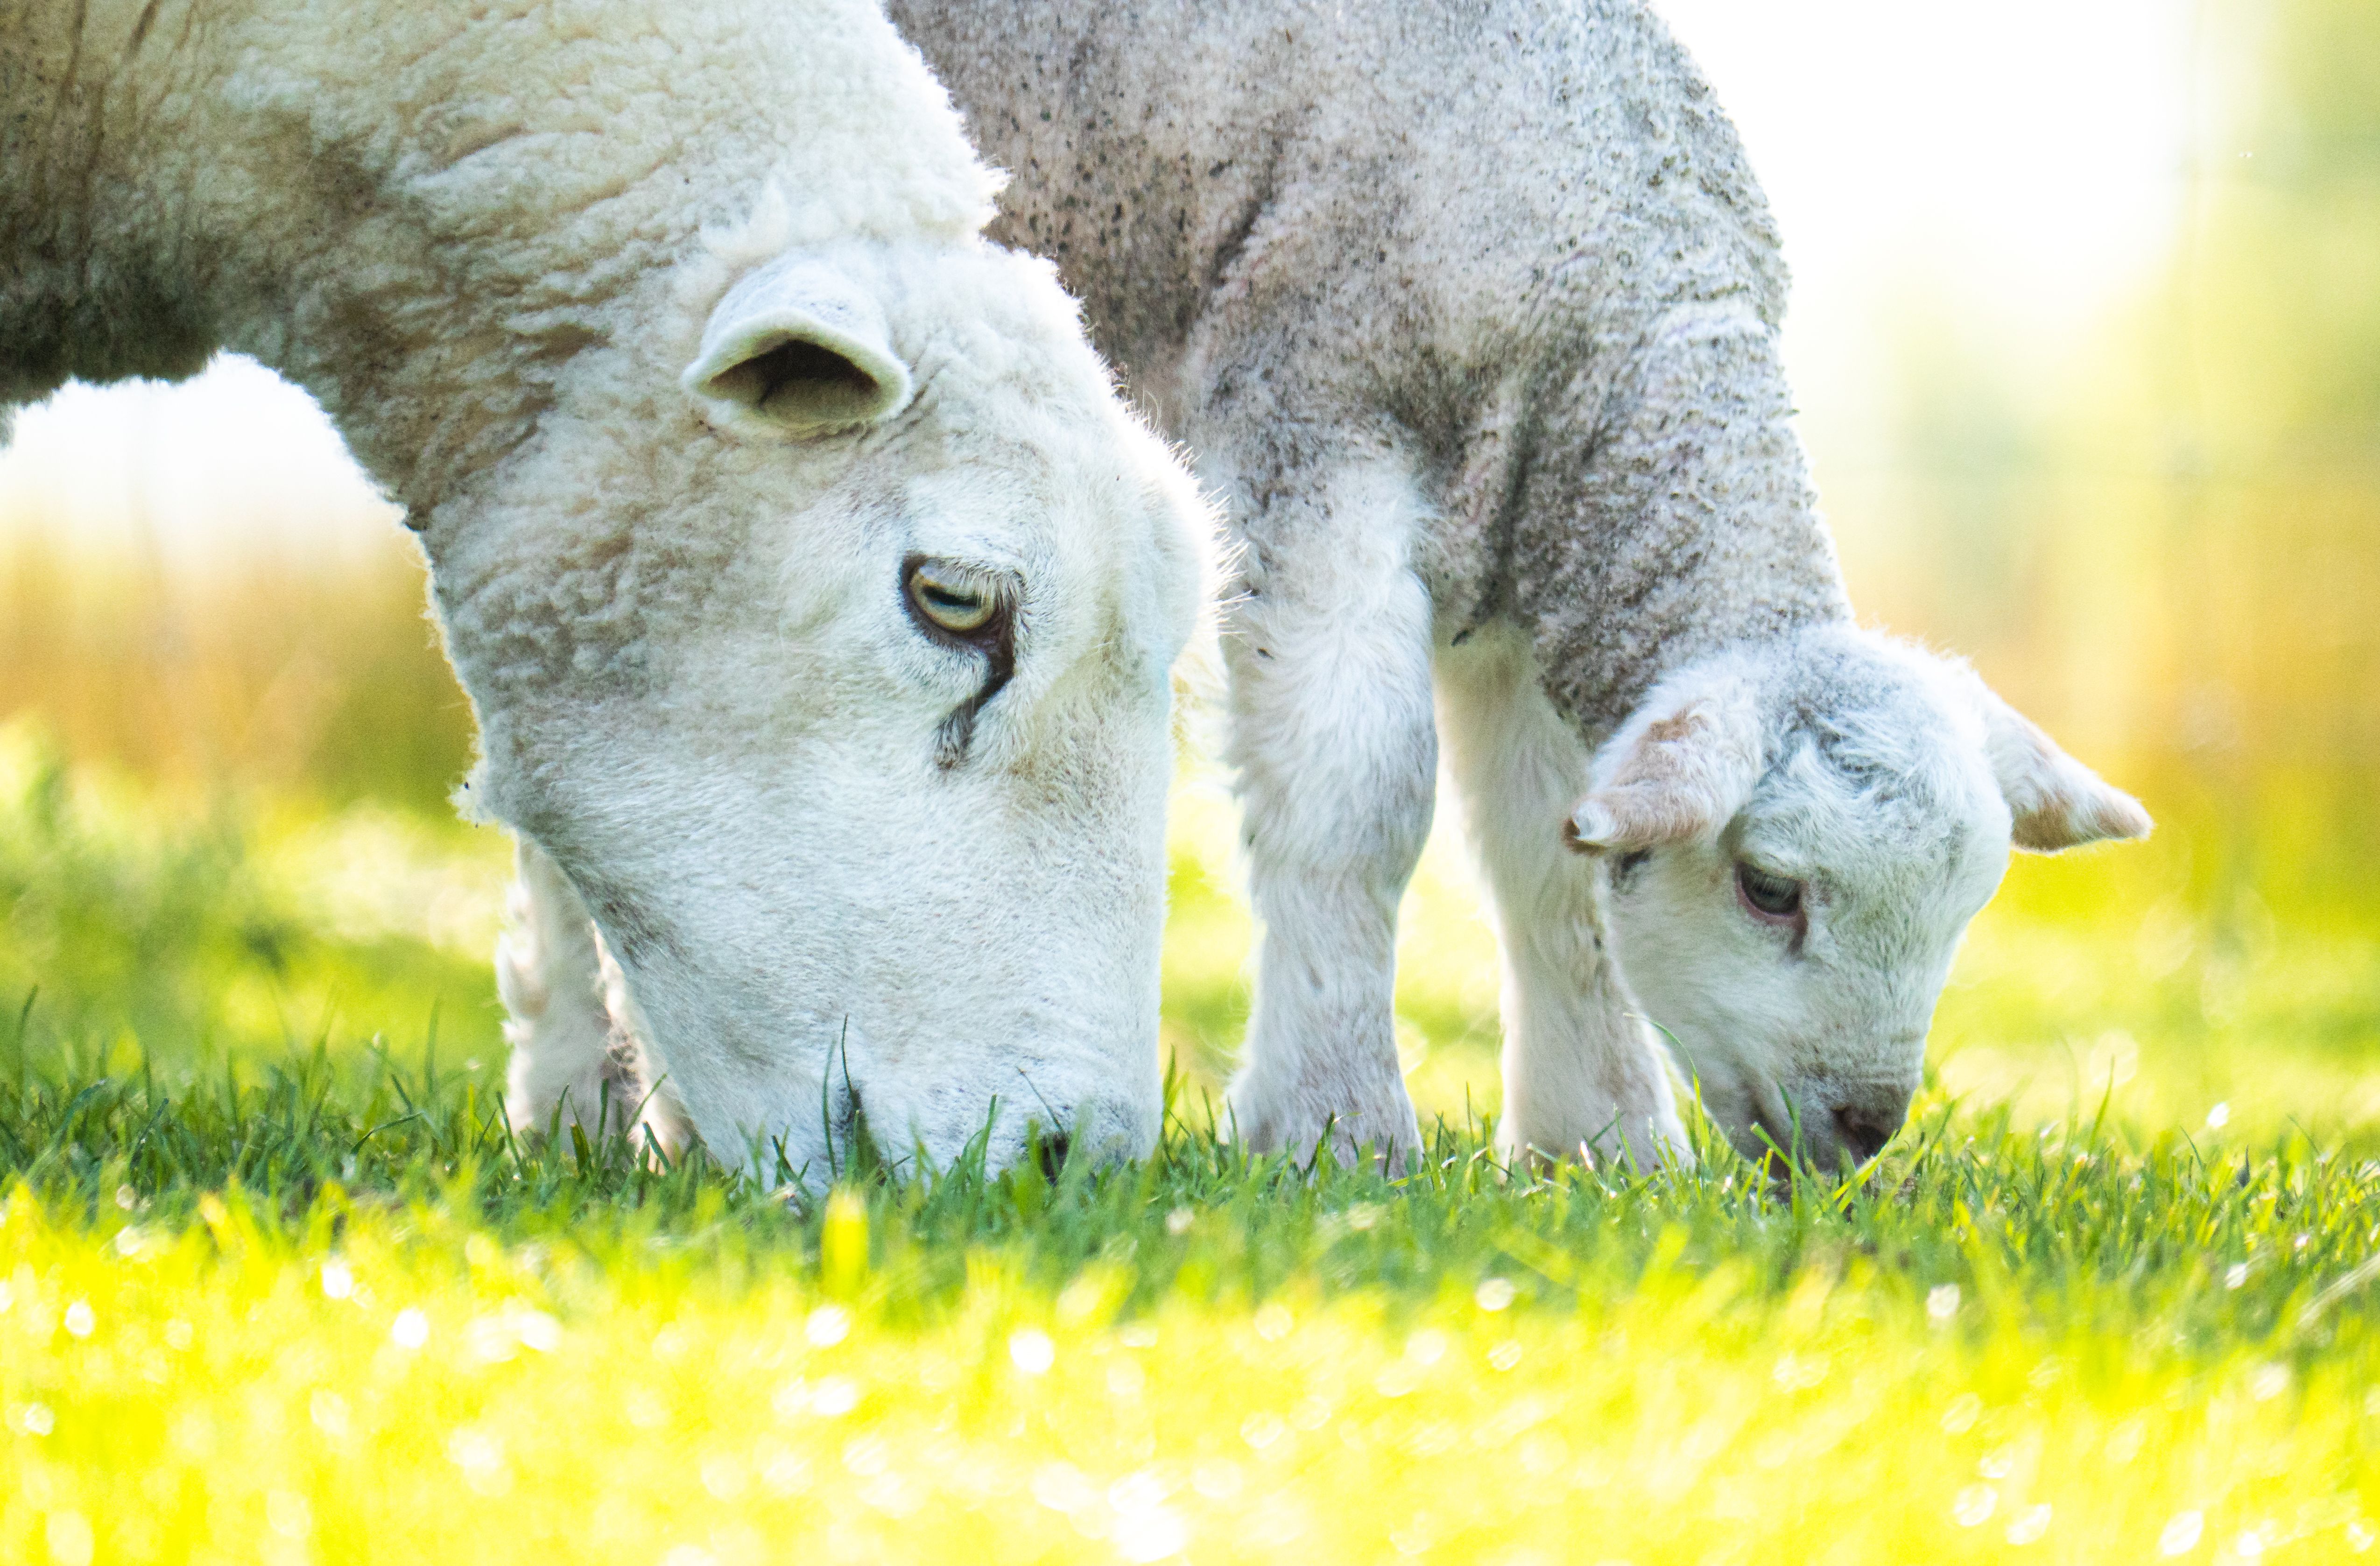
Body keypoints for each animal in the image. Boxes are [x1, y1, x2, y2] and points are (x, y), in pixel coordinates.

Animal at [887, 0, 2151, 1174]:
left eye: (1966, 906)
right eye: (1767, 888)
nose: (1866, 1126)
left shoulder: (1527, 561)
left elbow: (1553, 863)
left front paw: (1603, 1145)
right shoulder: (1314, 440)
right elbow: (1357, 804)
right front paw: (1334, 1128)